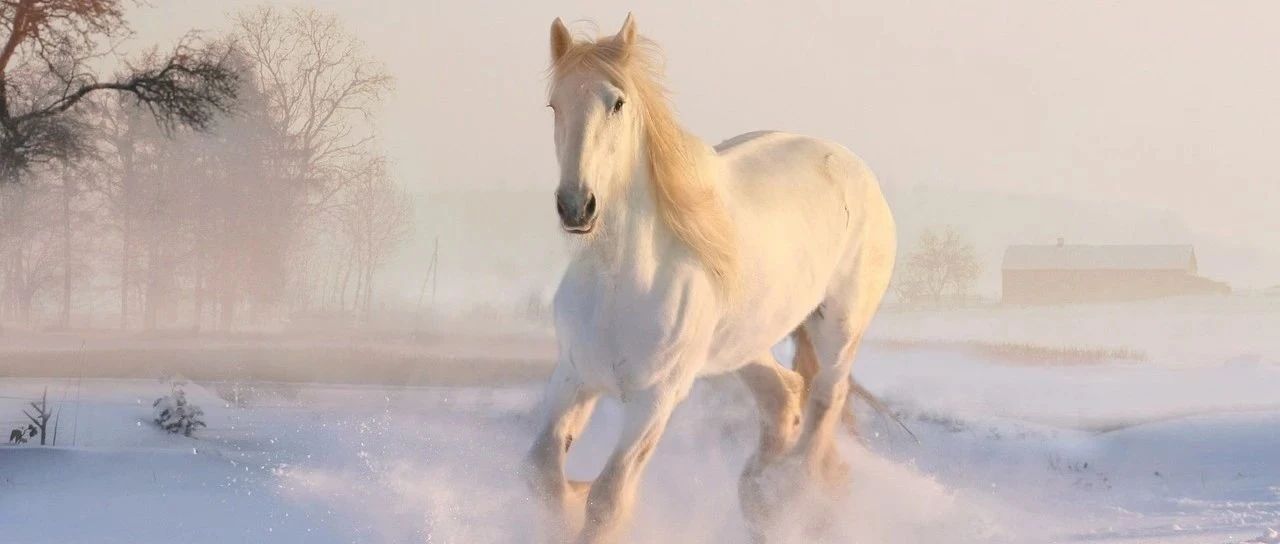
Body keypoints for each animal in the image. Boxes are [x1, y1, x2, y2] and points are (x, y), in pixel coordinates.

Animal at [524, 13, 896, 542]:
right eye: (555, 104)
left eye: (617, 103)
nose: (577, 206)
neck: (621, 283)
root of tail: (852, 165)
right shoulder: (574, 377)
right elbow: (541, 473)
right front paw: (569, 496)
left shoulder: (654, 400)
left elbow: (608, 499)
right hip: (743, 344)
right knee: (784, 397)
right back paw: (760, 497)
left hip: (839, 329)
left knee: (826, 401)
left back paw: (794, 492)